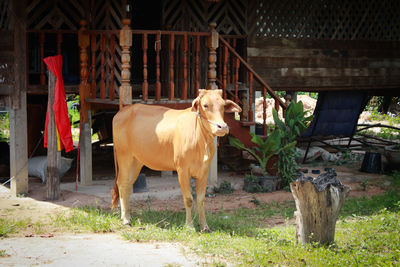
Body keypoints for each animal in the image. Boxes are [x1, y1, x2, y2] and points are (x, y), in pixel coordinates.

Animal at [111, 89, 241, 230]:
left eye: (223, 105)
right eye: (205, 105)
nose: (222, 127)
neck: (201, 141)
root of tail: (122, 112)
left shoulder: (204, 171)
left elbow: (201, 199)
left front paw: (204, 226)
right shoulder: (182, 170)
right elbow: (188, 199)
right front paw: (189, 226)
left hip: (136, 161)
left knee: (128, 185)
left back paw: (128, 216)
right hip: (124, 156)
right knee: (122, 184)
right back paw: (125, 219)